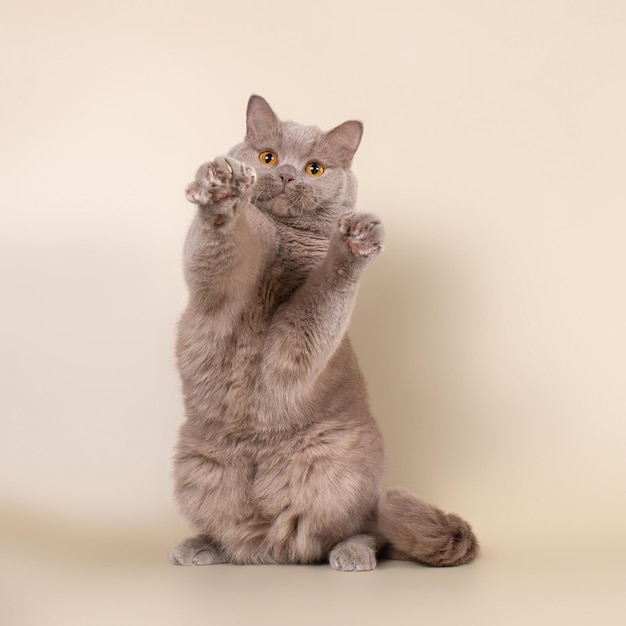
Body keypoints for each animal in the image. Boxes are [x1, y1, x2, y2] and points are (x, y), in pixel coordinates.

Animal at [168, 95, 476, 568]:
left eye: (314, 168)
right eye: (267, 157)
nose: (287, 174)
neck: (283, 240)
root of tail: (267, 543)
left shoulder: (297, 336)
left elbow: (326, 290)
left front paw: (355, 241)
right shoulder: (219, 289)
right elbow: (218, 246)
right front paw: (222, 190)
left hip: (342, 472)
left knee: (366, 528)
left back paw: (352, 553)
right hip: (197, 465)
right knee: (231, 536)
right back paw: (201, 545)